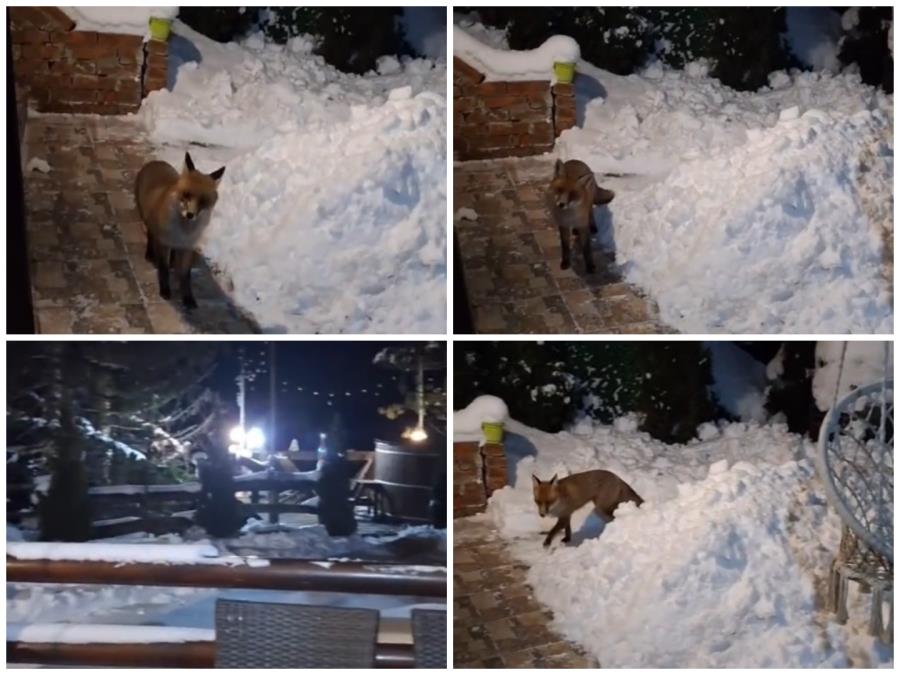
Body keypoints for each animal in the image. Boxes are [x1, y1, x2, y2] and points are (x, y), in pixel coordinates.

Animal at [134, 153, 225, 308]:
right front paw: (165, 291)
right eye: (186, 194)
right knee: (151, 236)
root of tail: (156, 162)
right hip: (147, 220)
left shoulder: (188, 247)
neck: (183, 233)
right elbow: (163, 269)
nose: (190, 215)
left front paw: (188, 298)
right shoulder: (164, 242)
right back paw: (150, 254)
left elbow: (185, 275)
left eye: (203, 201)